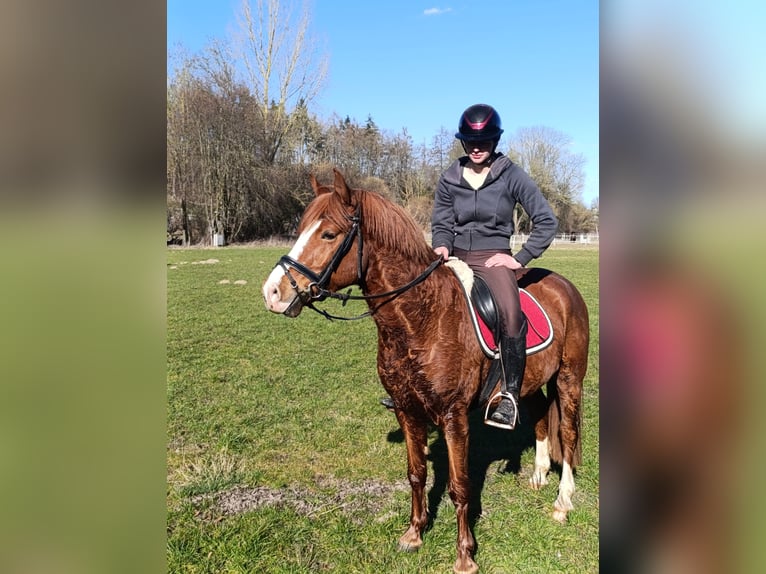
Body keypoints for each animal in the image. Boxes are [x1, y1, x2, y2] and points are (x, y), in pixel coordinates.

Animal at [262, 169, 590, 574]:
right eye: (301, 229)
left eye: (328, 235)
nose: (272, 293)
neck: (420, 318)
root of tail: (563, 284)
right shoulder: (407, 410)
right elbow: (416, 475)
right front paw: (414, 533)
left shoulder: (453, 417)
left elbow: (460, 486)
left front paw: (465, 555)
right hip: (530, 383)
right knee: (542, 417)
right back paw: (540, 474)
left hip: (569, 378)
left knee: (568, 433)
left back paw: (562, 502)